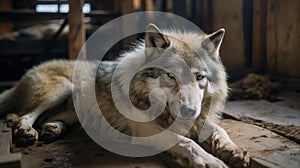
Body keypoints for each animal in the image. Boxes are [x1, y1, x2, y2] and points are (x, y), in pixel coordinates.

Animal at [0, 24, 248, 168]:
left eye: (199, 77)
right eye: (171, 75)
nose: (189, 111)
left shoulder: (199, 120)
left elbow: (220, 130)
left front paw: (233, 150)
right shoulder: (146, 129)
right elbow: (187, 142)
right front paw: (211, 160)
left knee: (49, 118)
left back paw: (51, 129)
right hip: (61, 89)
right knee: (24, 115)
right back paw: (26, 131)